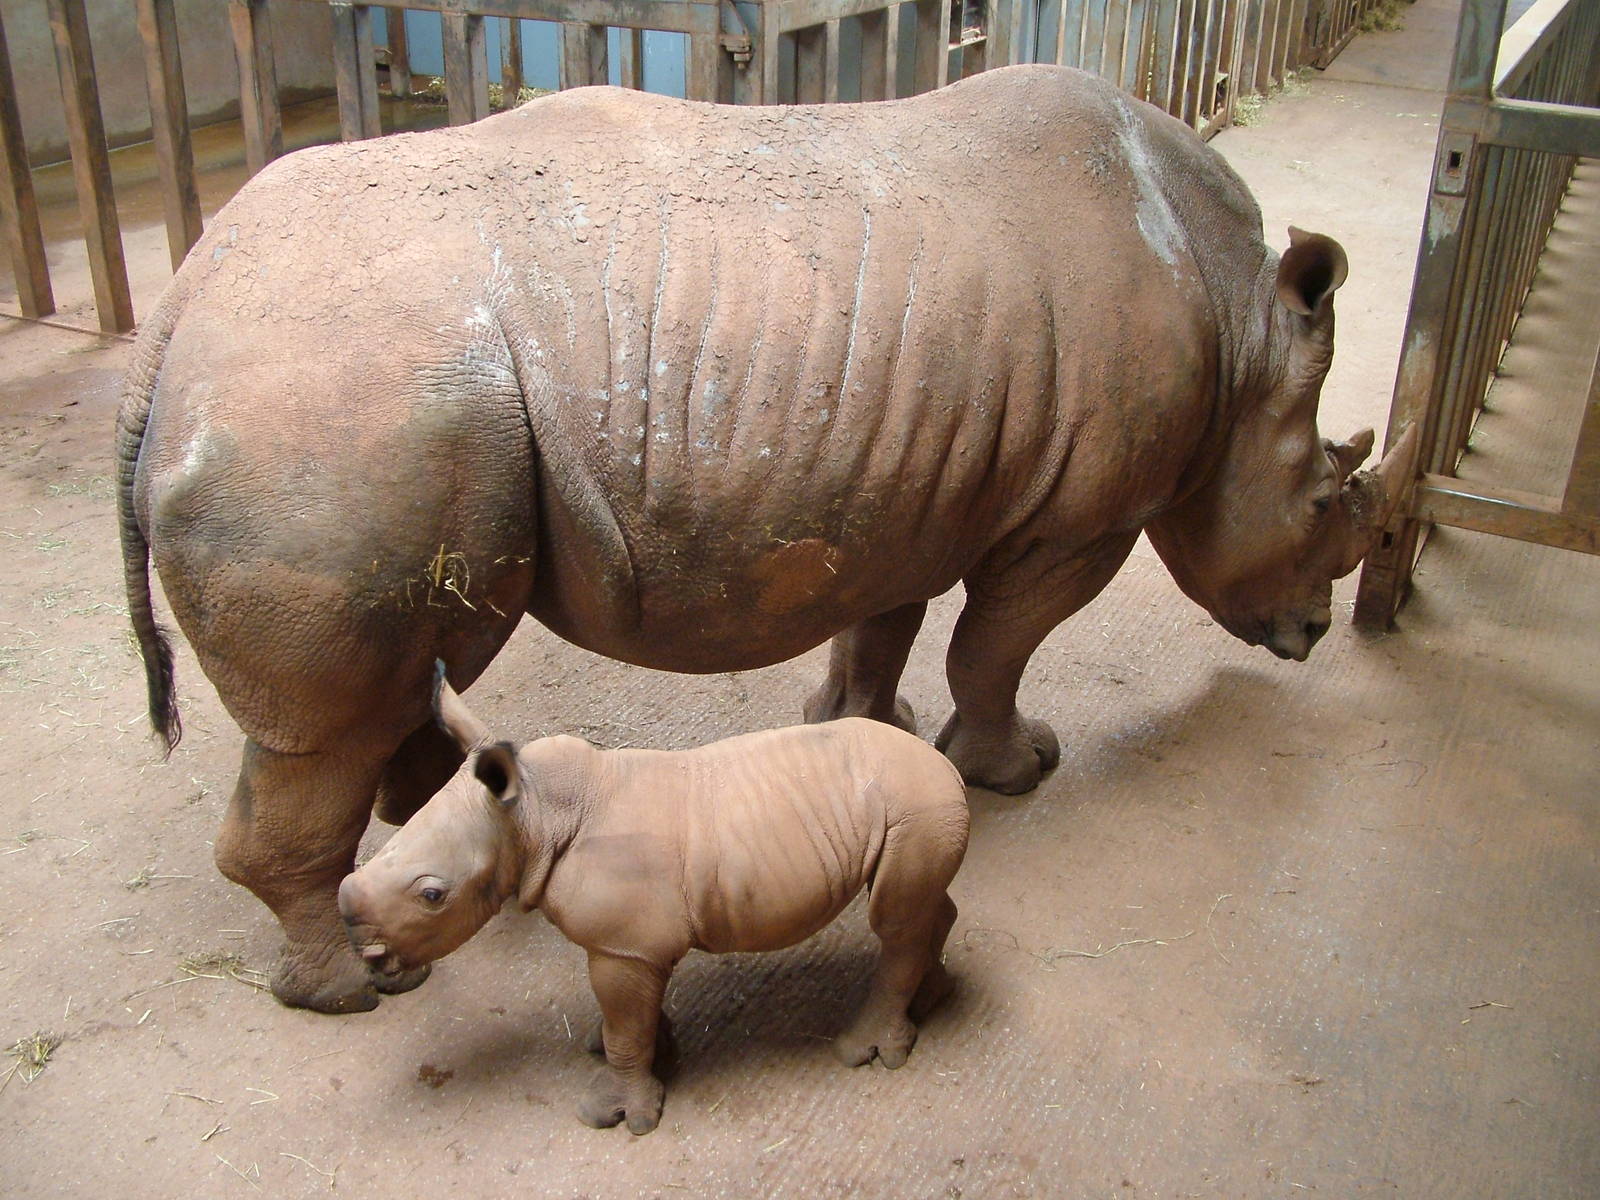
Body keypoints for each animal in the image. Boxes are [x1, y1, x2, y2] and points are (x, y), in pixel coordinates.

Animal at [118, 64, 1415, 1013]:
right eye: (1322, 502)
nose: (1310, 634)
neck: (1242, 325)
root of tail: (182, 303)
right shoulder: (1076, 518)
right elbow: (995, 646)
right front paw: (1015, 770)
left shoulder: (911, 474)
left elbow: (885, 628)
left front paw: (860, 729)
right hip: (336, 411)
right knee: (325, 726)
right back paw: (351, 994)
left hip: (324, 402)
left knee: (389, 690)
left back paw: (428, 817)